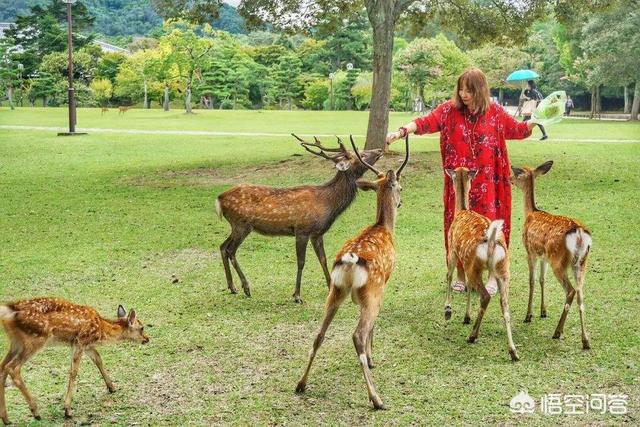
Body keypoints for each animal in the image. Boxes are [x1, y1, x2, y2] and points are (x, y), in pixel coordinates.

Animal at [0, 298, 148, 424]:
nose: (147, 338)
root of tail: (9, 311)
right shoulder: (80, 341)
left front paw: (111, 387)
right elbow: (74, 372)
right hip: (35, 339)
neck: (101, 330)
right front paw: (67, 410)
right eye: (142, 328)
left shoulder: (88, 346)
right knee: (12, 367)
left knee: (3, 367)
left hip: (16, 342)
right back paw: (35, 411)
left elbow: (98, 359)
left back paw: (6, 418)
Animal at [218, 134, 382, 304]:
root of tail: (219, 199)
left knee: (222, 246)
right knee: (230, 250)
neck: (328, 203)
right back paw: (246, 287)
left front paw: (330, 287)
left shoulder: (317, 233)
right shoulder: (302, 230)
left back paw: (232, 287)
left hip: (236, 226)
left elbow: (323, 259)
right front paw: (297, 295)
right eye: (361, 154)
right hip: (242, 224)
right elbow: (301, 262)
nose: (379, 150)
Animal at [296, 135, 410, 410]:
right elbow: (373, 327)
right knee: (357, 334)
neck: (384, 227)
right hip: (371, 291)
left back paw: (301, 384)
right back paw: (376, 398)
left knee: (318, 333)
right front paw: (372, 357)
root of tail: (349, 262)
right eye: (400, 187)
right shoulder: (383, 286)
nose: (401, 201)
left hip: (335, 291)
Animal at [444, 167, 520, 362]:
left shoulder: (453, 250)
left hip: (474, 266)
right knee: (504, 304)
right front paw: (466, 317)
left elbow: (449, 276)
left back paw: (472, 336)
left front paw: (448, 310)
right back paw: (513, 351)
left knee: (485, 296)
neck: (461, 211)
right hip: (503, 269)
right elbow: (468, 288)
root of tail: (492, 241)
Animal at [510, 162, 596, 350]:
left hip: (559, 261)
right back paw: (585, 340)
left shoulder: (530, 252)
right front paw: (543, 312)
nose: (509, 179)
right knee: (580, 293)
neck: (530, 213)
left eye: (518, 174)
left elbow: (532, 281)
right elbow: (542, 279)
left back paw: (558, 331)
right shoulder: (544, 256)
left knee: (570, 291)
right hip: (581, 263)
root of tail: (579, 233)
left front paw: (528, 315)